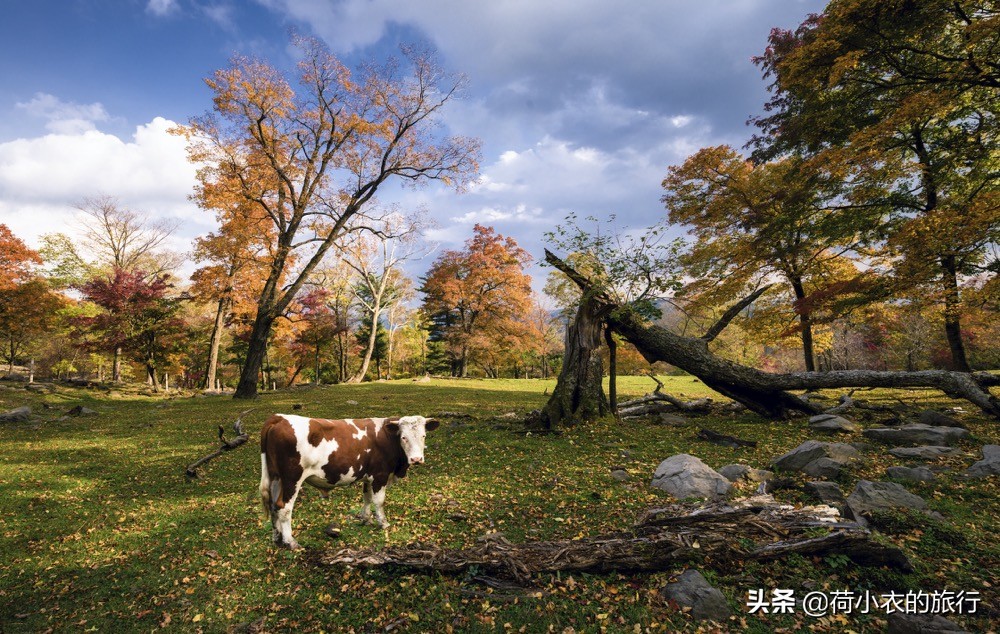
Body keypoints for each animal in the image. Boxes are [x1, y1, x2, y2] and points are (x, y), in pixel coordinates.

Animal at [262, 412, 438, 544]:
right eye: (403, 437)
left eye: (423, 436)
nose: (416, 459)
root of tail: (279, 417)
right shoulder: (380, 475)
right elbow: (379, 501)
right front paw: (384, 523)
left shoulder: (368, 477)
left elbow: (367, 498)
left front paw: (366, 519)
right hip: (292, 479)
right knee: (284, 507)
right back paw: (290, 541)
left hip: (275, 478)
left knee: (273, 505)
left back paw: (277, 537)